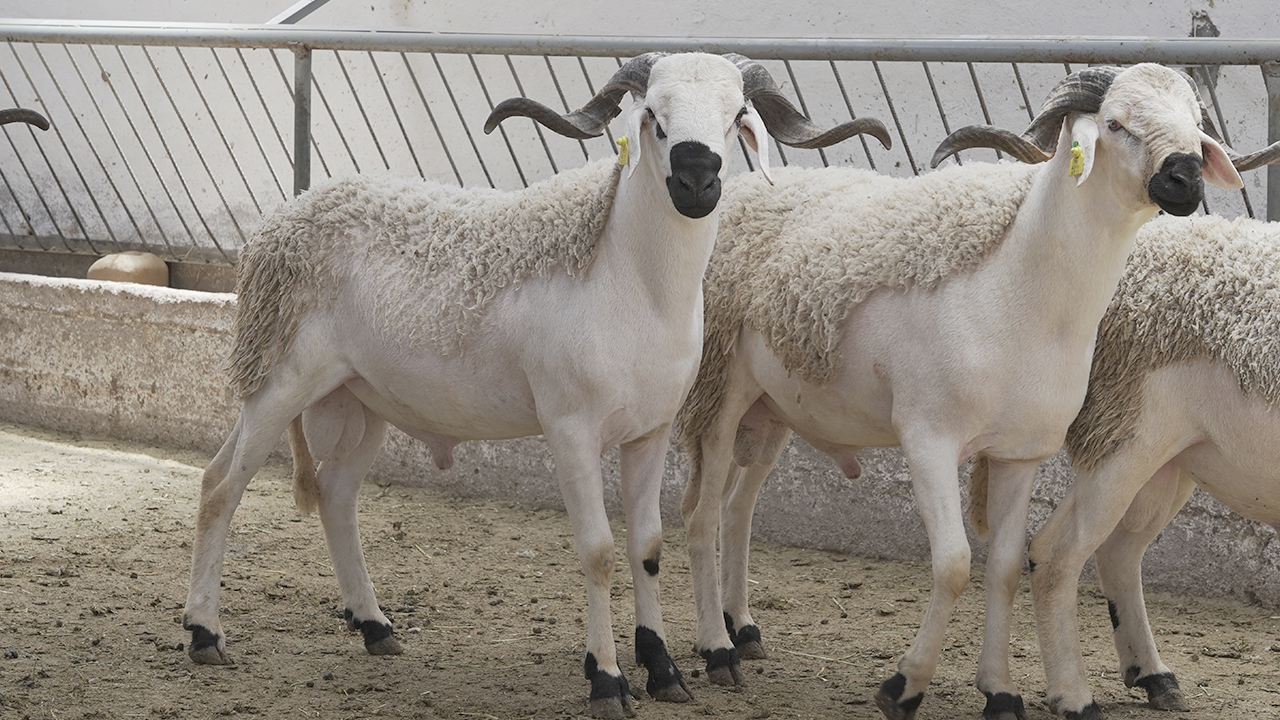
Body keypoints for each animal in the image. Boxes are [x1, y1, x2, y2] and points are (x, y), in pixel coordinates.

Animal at [179, 51, 890, 720]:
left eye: (736, 114)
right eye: (653, 117)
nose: (696, 180)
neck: (629, 284)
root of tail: (284, 215)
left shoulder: (651, 430)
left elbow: (648, 547)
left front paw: (663, 670)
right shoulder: (569, 427)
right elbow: (599, 552)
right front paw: (607, 680)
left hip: (362, 396)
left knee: (334, 493)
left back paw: (375, 626)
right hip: (281, 376)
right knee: (220, 486)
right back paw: (204, 635)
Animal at [676, 64, 1250, 720]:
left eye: (1196, 124)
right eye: (1115, 123)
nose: (1184, 176)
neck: (1020, 291)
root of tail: (747, 189)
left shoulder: (1019, 453)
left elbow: (1003, 568)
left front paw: (1000, 692)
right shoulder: (928, 437)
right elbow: (952, 565)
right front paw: (903, 687)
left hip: (773, 409)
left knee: (736, 508)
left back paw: (743, 628)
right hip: (718, 389)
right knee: (700, 515)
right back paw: (717, 652)